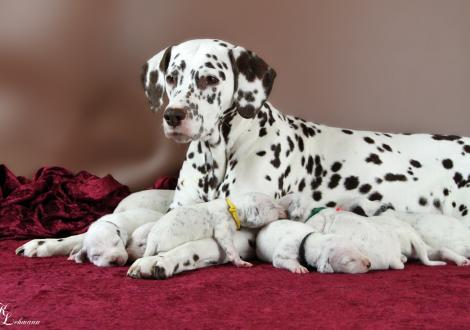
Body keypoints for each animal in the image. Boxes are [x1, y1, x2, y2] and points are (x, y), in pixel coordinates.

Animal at [126, 192, 284, 278]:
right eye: (272, 207)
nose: (284, 211)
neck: (233, 206)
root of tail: (153, 239)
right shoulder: (223, 227)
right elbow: (229, 246)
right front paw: (241, 262)